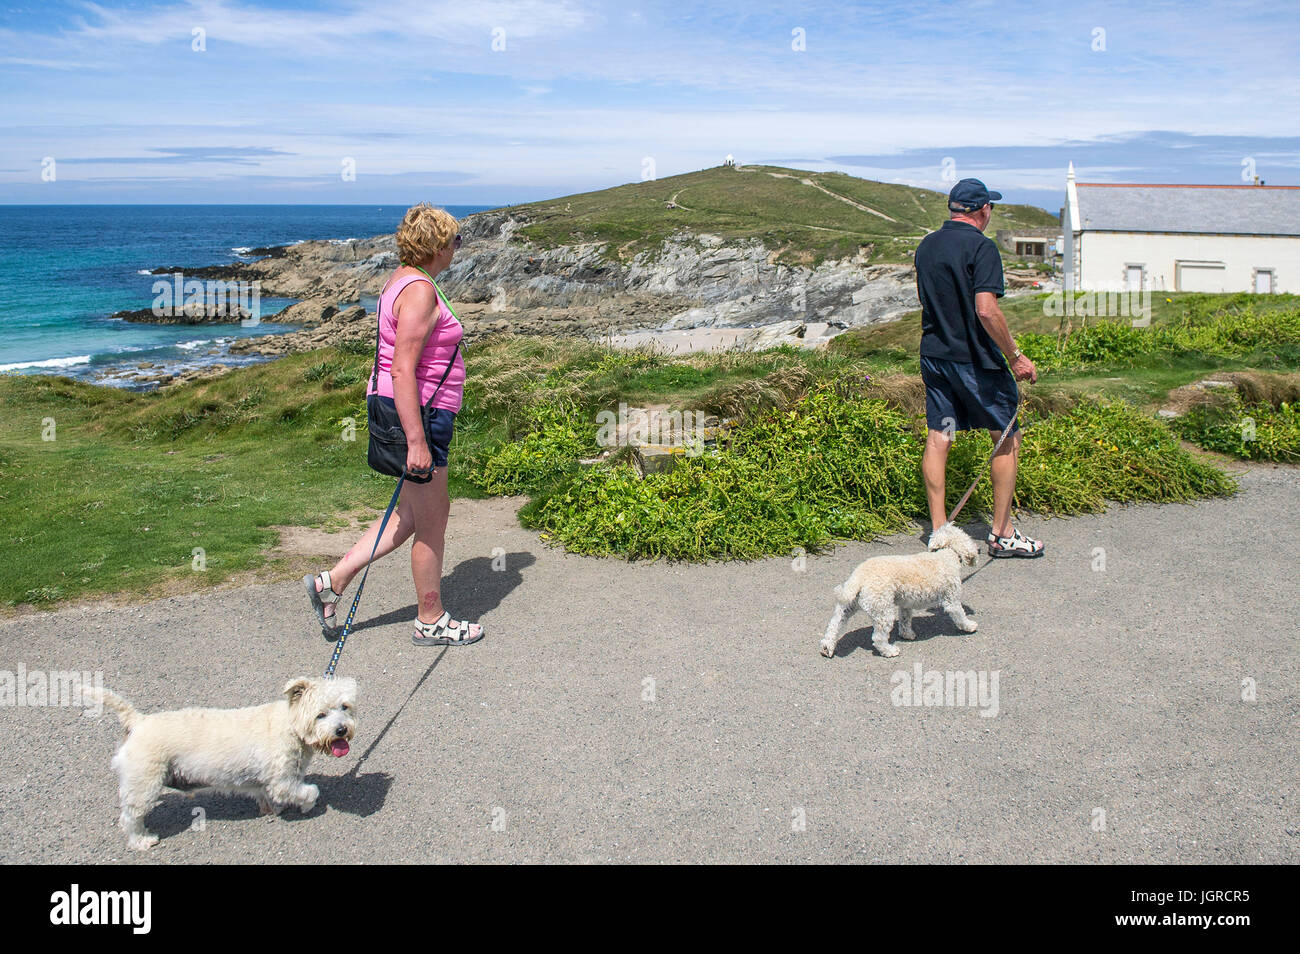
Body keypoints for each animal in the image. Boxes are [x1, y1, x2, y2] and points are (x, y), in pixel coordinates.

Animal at [87, 681, 356, 852]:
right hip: (144, 782)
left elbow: (266, 794)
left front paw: (272, 808)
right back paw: (142, 840)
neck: (290, 725)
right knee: (130, 817)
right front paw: (307, 805)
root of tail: (138, 721)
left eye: (344, 707)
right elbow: (308, 791)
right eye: (320, 715)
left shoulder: (270, 780)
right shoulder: (283, 780)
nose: (342, 729)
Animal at [821, 527, 977, 660]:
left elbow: (905, 620)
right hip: (883, 611)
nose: (980, 550)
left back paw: (827, 648)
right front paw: (969, 626)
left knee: (833, 626)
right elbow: (959, 615)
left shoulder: (906, 604)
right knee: (878, 638)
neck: (948, 554)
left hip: (848, 605)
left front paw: (907, 634)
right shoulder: (951, 599)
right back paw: (889, 651)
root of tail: (859, 576)